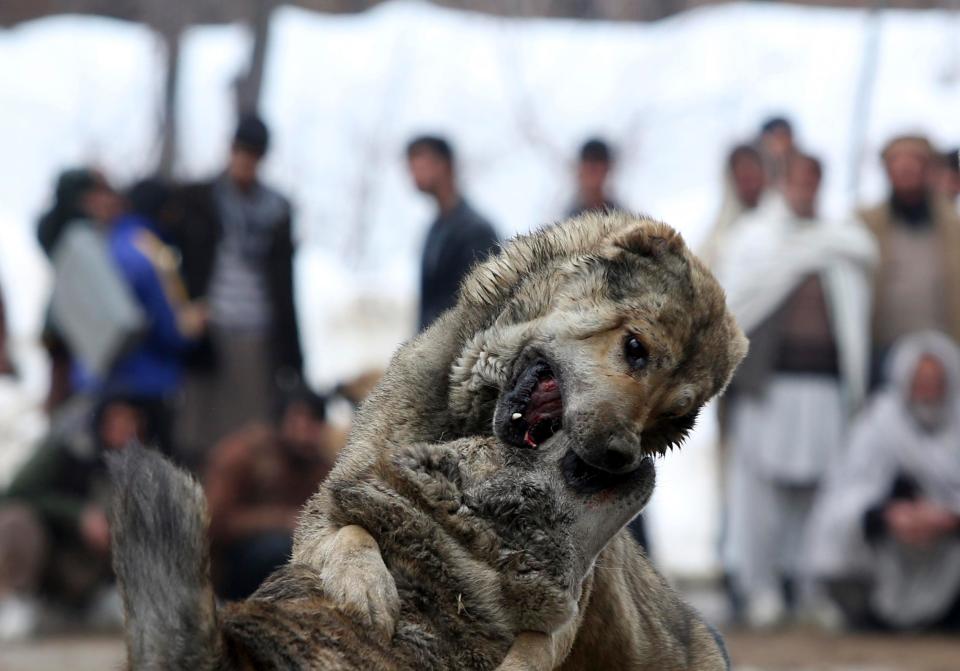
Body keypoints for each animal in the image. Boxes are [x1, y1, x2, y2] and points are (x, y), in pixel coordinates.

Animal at [294, 213, 752, 668]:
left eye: (674, 414)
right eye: (635, 347)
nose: (619, 456)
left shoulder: (566, 601)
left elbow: (536, 644)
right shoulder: (323, 514)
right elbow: (349, 533)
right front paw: (364, 588)